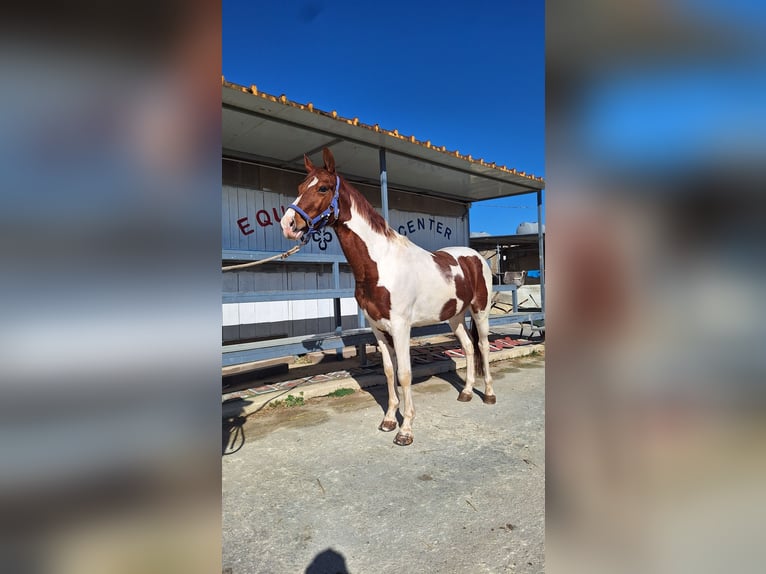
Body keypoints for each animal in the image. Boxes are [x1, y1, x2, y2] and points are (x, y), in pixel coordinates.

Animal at [280, 148, 495, 446]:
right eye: (300, 187)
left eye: (322, 187)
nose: (288, 224)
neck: (381, 263)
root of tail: (477, 256)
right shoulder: (378, 329)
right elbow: (389, 371)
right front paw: (390, 420)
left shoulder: (401, 327)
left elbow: (404, 374)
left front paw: (406, 430)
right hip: (454, 315)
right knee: (467, 346)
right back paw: (465, 392)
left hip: (480, 310)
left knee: (483, 346)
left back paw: (488, 395)